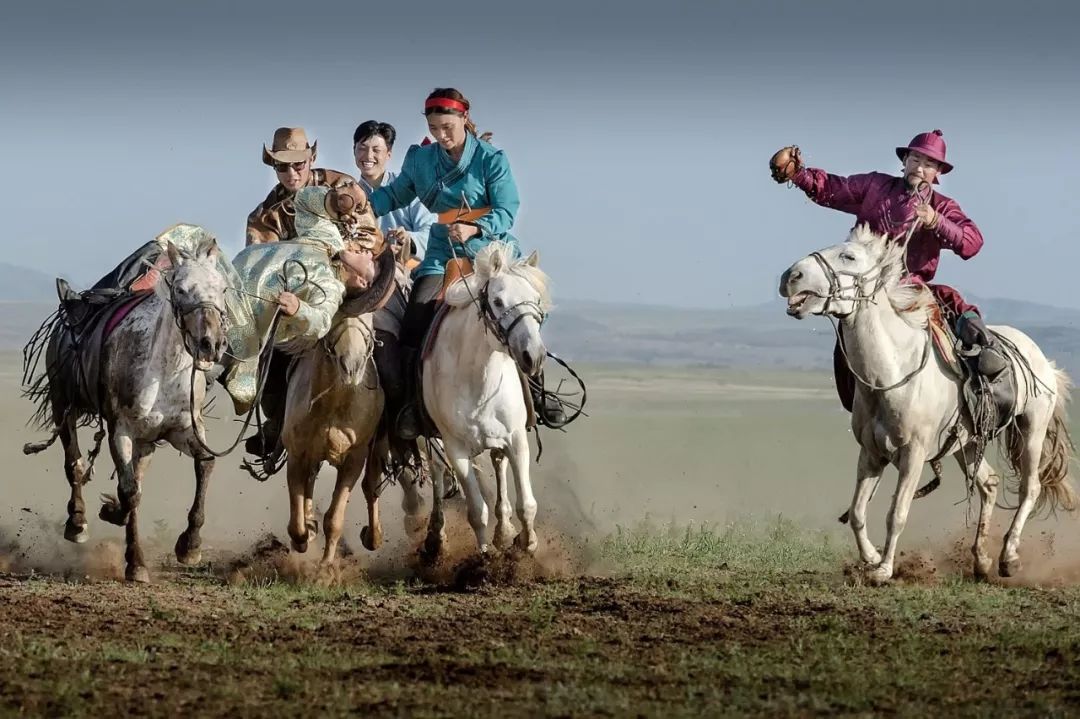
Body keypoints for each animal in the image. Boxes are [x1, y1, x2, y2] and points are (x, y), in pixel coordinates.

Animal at [24, 226, 233, 578]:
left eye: (222, 287)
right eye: (180, 288)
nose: (211, 343)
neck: (163, 371)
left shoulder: (183, 430)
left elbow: (204, 464)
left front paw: (189, 546)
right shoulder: (120, 431)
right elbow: (129, 492)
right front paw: (134, 560)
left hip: (146, 441)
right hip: (63, 406)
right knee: (74, 464)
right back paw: (77, 523)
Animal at [282, 310, 425, 570]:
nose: (352, 366)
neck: (333, 403)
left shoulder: (355, 458)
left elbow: (335, 518)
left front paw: (326, 568)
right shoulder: (297, 454)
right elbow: (296, 521)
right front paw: (303, 537)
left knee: (371, 487)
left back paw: (374, 536)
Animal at [421, 243, 552, 557]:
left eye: (536, 299)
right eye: (498, 301)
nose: (534, 356)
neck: (479, 378)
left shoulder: (516, 438)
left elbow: (526, 503)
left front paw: (526, 543)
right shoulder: (455, 448)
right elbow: (476, 511)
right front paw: (485, 557)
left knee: (497, 464)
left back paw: (504, 529)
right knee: (437, 473)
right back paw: (436, 536)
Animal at [781, 225, 1075, 582]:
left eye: (848, 256)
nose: (790, 277)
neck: (892, 374)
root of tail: (1044, 361)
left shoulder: (914, 454)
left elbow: (897, 512)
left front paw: (884, 570)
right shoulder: (871, 453)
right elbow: (858, 511)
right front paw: (871, 557)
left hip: (1031, 428)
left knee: (1029, 488)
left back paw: (1009, 557)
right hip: (967, 443)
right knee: (989, 484)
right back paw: (981, 561)